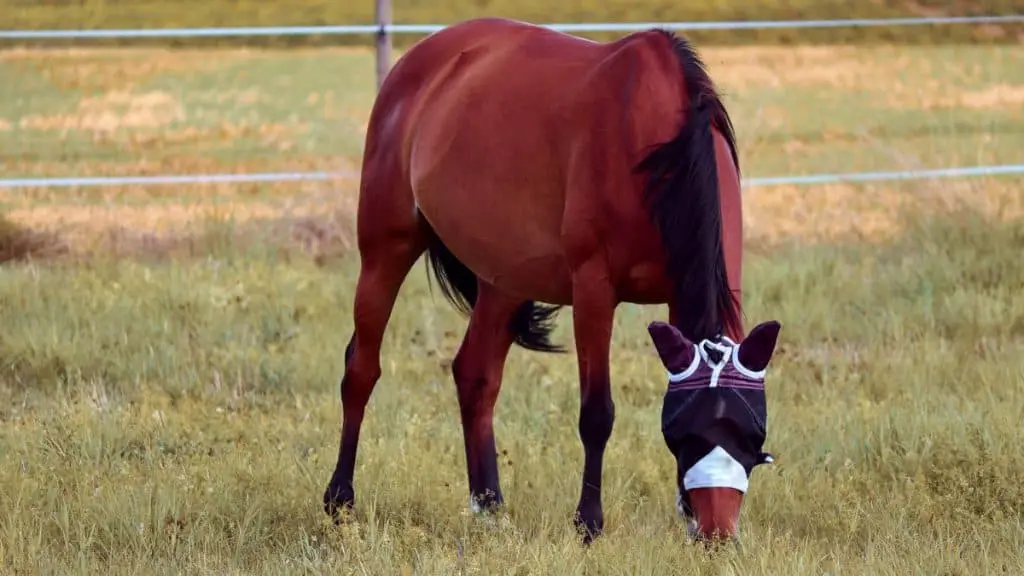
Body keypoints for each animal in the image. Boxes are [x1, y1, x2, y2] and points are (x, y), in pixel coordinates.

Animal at [321, 15, 782, 541]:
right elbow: (597, 413)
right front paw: (588, 523)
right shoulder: (594, 290)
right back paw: (340, 499)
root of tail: (420, 59)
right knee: (361, 368)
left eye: (752, 434)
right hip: (386, 248)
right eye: (685, 433)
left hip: (503, 278)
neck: (657, 147)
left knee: (475, 373)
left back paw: (488, 504)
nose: (717, 532)